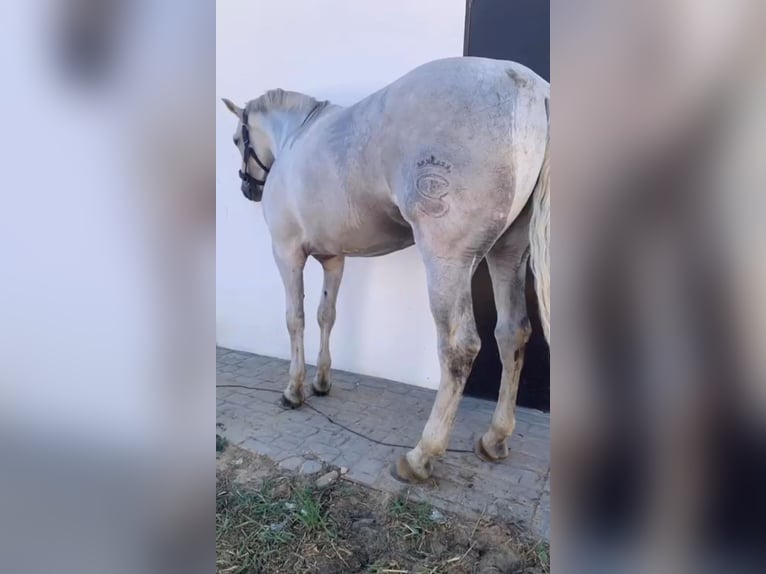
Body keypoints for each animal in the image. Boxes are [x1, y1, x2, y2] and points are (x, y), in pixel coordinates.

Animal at [224, 58, 552, 484]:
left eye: (237, 139)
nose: (249, 188)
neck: (296, 137)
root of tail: (533, 91)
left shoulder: (286, 252)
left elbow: (295, 318)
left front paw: (294, 390)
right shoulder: (334, 258)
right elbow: (326, 315)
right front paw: (322, 382)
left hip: (447, 260)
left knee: (459, 347)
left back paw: (421, 455)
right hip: (508, 253)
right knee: (512, 333)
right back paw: (494, 438)